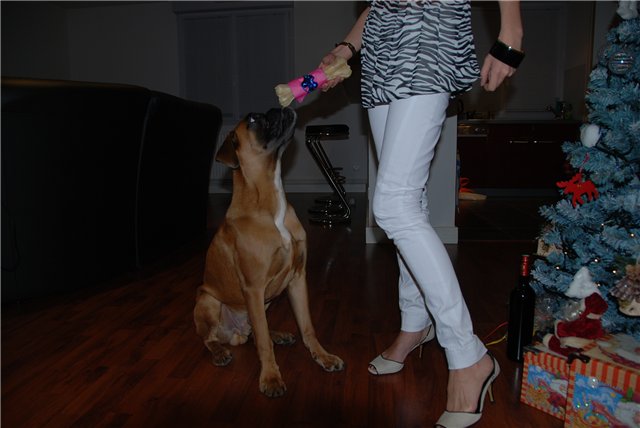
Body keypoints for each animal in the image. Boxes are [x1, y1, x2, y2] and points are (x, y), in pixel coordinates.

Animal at [194, 107, 344, 397]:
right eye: (253, 120)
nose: (278, 108)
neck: (268, 202)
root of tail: (235, 333)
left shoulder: (297, 279)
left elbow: (307, 327)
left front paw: (323, 357)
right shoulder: (253, 288)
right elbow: (263, 343)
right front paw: (271, 377)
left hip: (266, 301)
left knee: (256, 329)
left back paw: (278, 334)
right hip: (207, 301)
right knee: (212, 338)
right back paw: (219, 352)